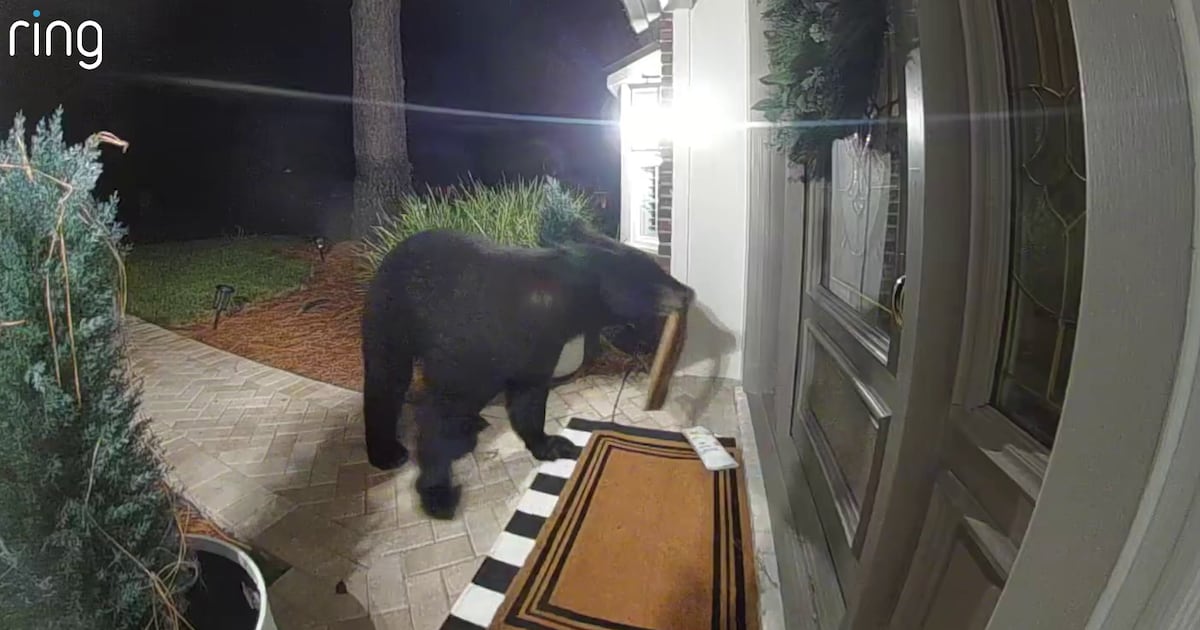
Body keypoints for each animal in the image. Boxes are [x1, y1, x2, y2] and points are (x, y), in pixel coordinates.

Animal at [360, 227, 695, 519]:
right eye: (653, 275)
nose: (688, 291)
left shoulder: (539, 348)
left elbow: (528, 399)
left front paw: (551, 444)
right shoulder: (470, 344)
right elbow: (438, 412)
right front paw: (438, 494)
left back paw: (470, 425)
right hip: (389, 316)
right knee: (387, 378)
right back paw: (387, 451)